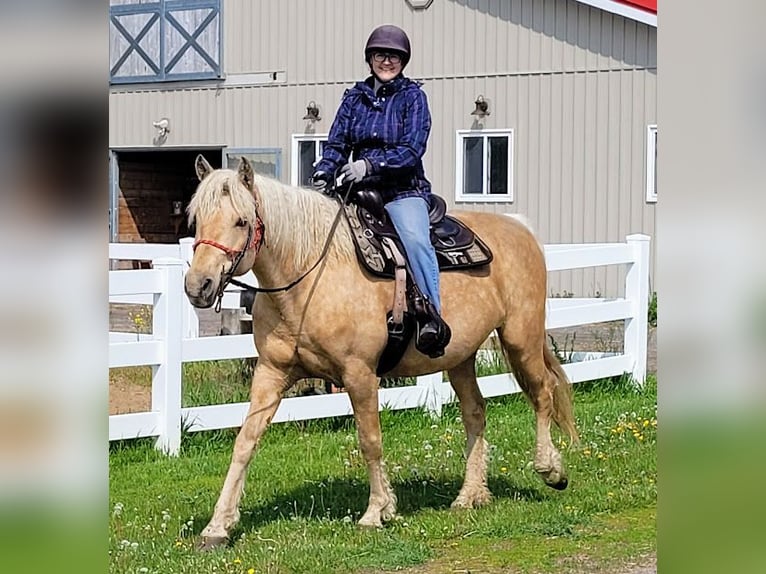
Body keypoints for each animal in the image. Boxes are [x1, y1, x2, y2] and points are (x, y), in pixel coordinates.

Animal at [186, 155, 580, 552]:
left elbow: (370, 440)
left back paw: (551, 470)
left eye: (241, 220)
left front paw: (377, 512)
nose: (197, 286)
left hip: (521, 337)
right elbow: (245, 442)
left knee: (543, 393)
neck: (309, 277)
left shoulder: (360, 374)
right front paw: (217, 526)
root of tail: (520, 228)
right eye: (197, 218)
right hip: (460, 357)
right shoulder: (272, 373)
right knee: (475, 412)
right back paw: (470, 494)